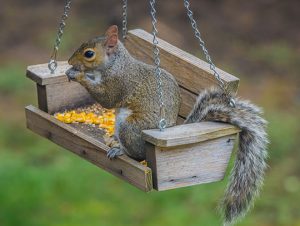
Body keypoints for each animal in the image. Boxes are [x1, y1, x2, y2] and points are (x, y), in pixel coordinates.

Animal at [66, 25, 270, 225]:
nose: (68, 62)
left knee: (138, 154)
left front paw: (78, 76)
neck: (115, 64)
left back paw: (121, 151)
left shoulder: (119, 82)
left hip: (130, 128)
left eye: (89, 54)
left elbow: (107, 99)